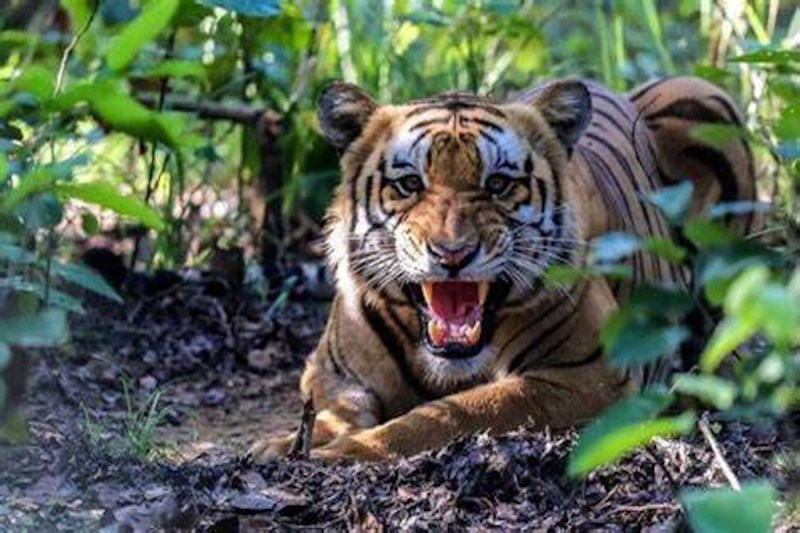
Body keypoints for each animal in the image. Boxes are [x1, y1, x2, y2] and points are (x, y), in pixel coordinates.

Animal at [248, 76, 756, 462]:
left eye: (498, 184)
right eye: (410, 184)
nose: (452, 253)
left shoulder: (588, 374)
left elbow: (456, 412)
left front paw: (346, 452)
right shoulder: (328, 371)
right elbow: (337, 408)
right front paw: (283, 445)